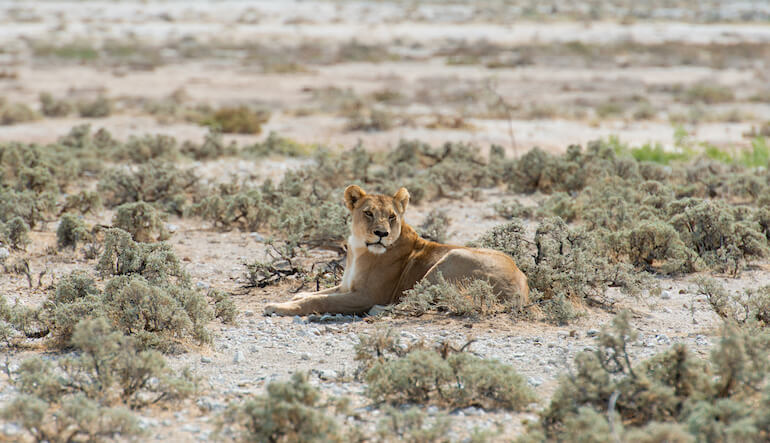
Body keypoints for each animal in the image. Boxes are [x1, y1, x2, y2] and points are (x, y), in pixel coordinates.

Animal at [263, 185, 528, 316]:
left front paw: (279, 306)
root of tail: (523, 289)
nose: (381, 233)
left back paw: (379, 310)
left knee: (417, 301)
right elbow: (321, 292)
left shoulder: (366, 295)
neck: (358, 249)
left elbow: (321, 301)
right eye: (368, 212)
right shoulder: (347, 286)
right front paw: (297, 296)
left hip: (451, 258)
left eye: (391, 216)